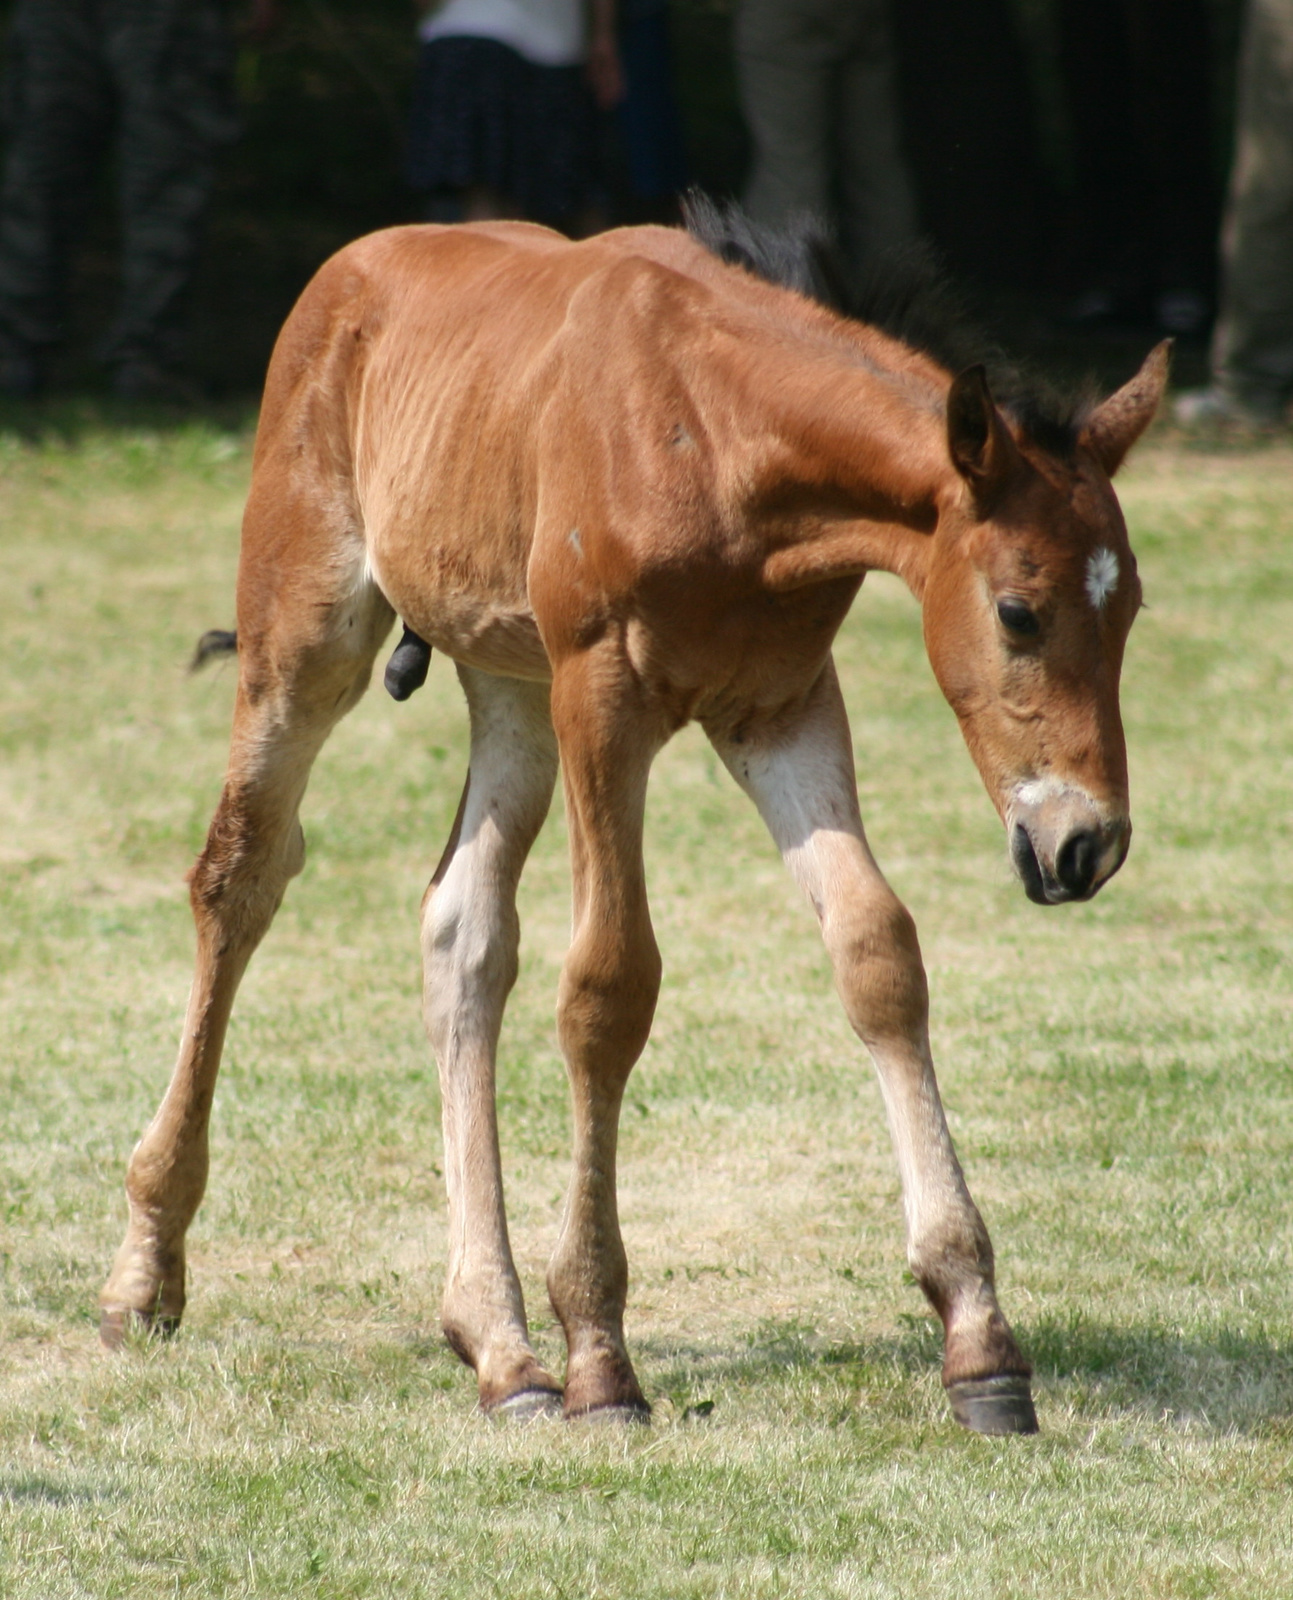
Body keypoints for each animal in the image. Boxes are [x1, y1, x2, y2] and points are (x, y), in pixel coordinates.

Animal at [100, 216, 1164, 1440]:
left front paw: (978, 1335)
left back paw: (500, 1346)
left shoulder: (781, 705)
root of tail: (353, 265)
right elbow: (609, 986)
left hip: (509, 680)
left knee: (462, 931)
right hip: (308, 639)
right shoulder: (601, 693)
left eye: (1131, 609)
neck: (716, 437)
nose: (1083, 844)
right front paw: (601, 1355)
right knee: (240, 876)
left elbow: (877, 951)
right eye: (1018, 612)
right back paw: (145, 1273)